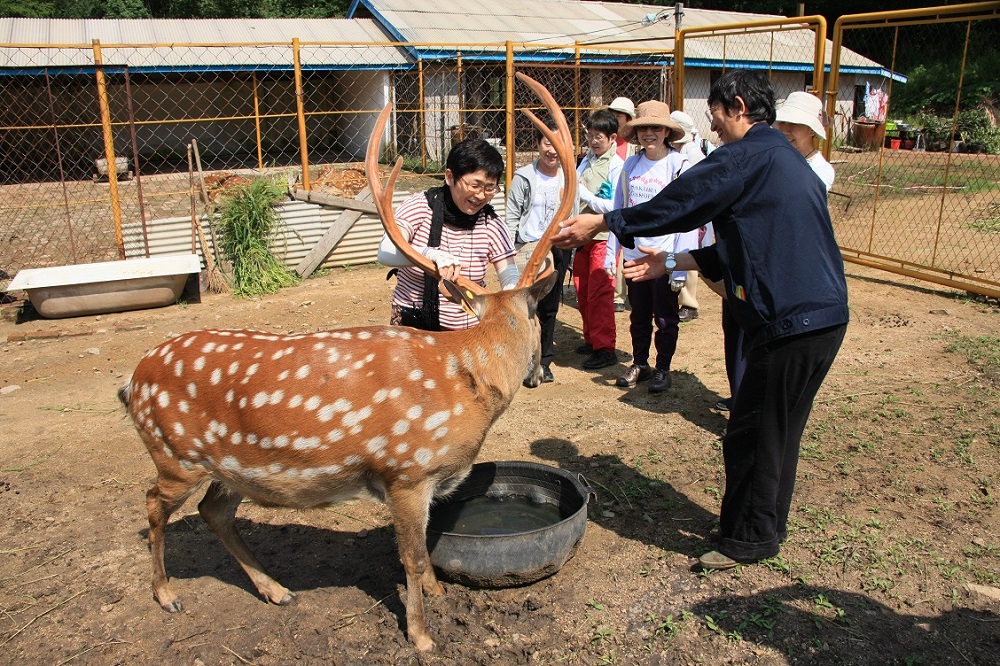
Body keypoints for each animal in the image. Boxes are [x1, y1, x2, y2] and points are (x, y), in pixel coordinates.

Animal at [120, 74, 576, 648]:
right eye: (537, 321)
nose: (537, 374)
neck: (466, 383)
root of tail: (131, 383)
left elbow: (426, 550)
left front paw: (440, 596)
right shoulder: (405, 470)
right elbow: (409, 555)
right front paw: (422, 635)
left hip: (225, 467)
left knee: (213, 510)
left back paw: (275, 590)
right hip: (174, 452)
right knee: (153, 505)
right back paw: (167, 595)